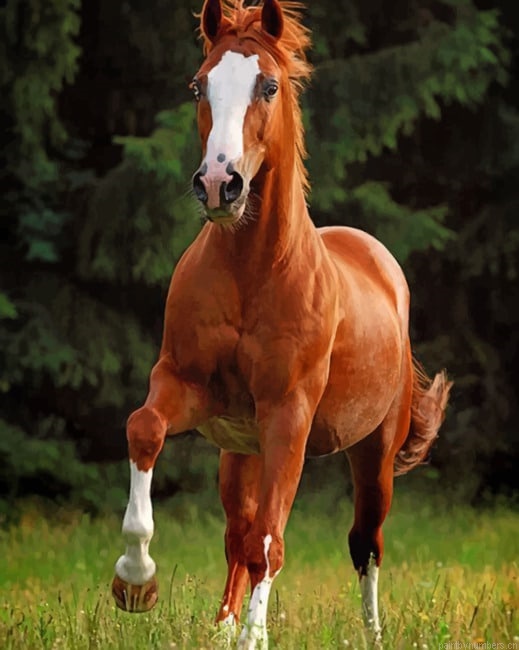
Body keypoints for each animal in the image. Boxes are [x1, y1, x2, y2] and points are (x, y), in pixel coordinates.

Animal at [111, 1, 452, 647]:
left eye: (267, 86)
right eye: (199, 85)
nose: (218, 184)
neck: (253, 273)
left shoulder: (288, 417)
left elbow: (271, 540)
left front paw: (253, 636)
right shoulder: (186, 387)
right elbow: (144, 430)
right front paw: (135, 583)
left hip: (372, 454)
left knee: (364, 543)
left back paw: (370, 634)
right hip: (239, 452)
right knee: (235, 535)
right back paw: (220, 625)